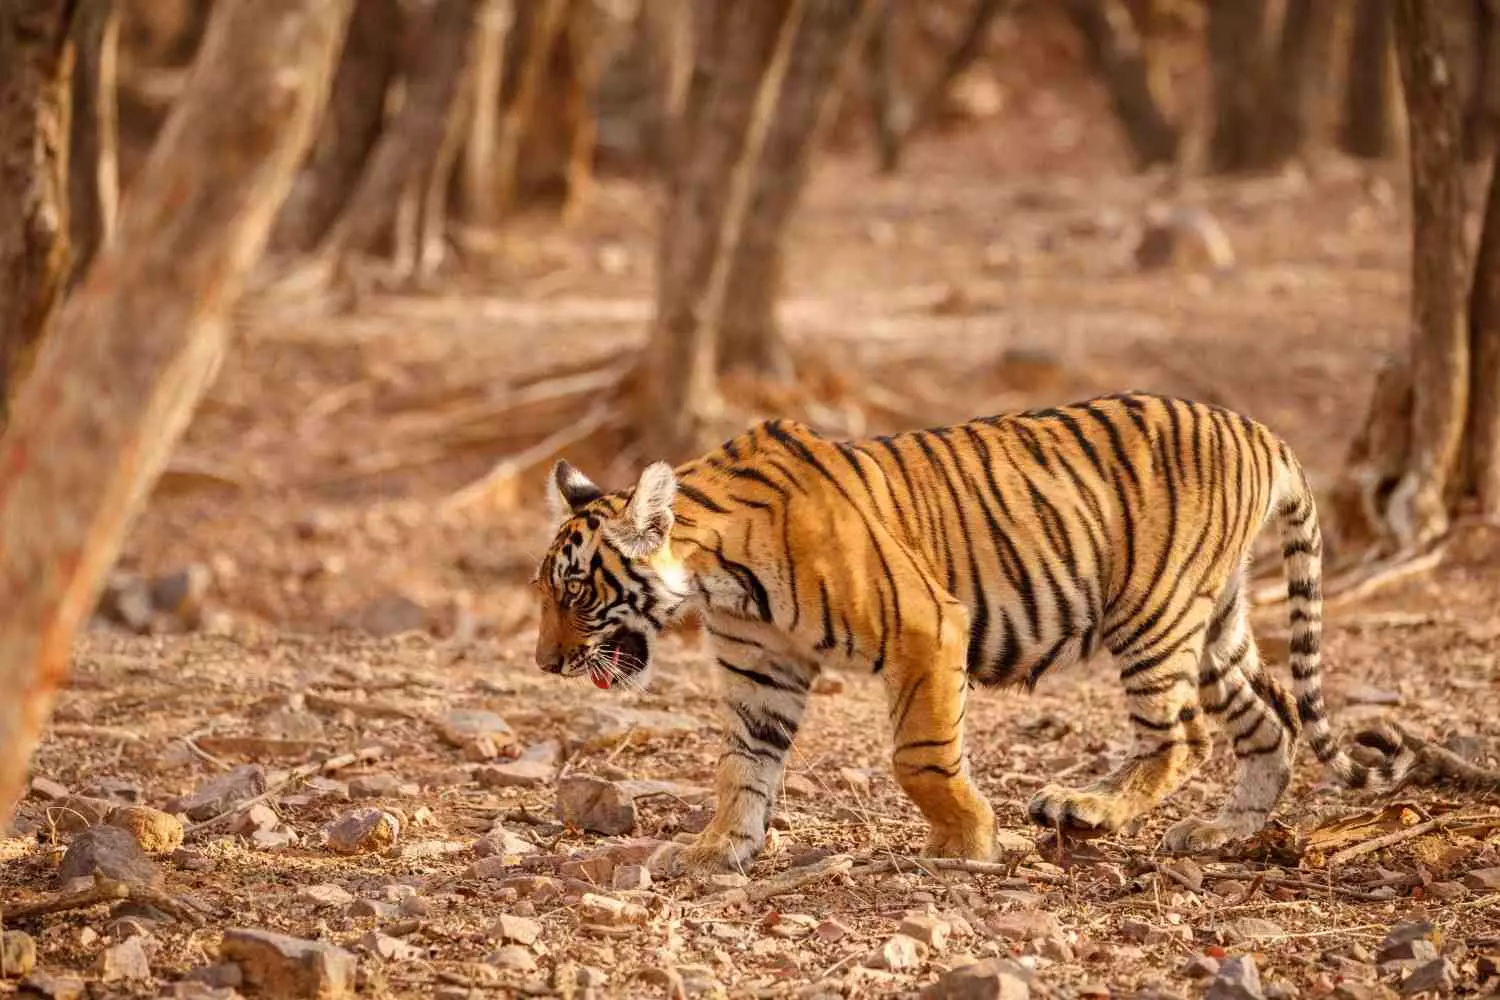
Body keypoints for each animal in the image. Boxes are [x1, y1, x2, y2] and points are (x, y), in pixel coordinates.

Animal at [530, 391, 1471, 873]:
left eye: (575, 590)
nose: (544, 663)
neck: (722, 576)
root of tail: (1260, 430)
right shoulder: (763, 676)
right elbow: (741, 769)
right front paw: (716, 850)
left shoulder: (924, 627)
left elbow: (918, 754)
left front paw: (966, 839)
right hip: (1217, 622)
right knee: (1268, 721)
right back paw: (1220, 832)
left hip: (1154, 612)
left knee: (1182, 735)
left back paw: (1089, 809)